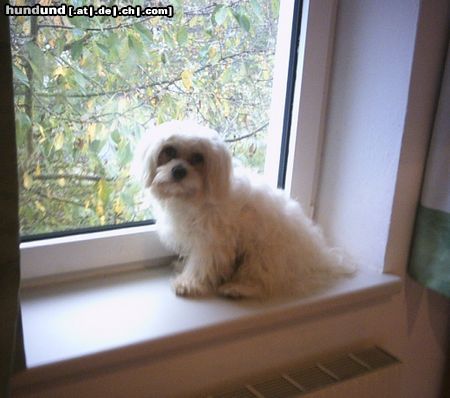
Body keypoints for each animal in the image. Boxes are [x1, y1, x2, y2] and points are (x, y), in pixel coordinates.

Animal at [137, 121, 356, 298]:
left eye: (198, 157)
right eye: (169, 151)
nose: (179, 170)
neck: (193, 199)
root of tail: (319, 258)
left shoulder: (211, 241)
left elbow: (202, 264)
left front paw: (188, 283)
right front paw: (183, 267)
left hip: (263, 252)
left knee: (262, 280)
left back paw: (237, 288)